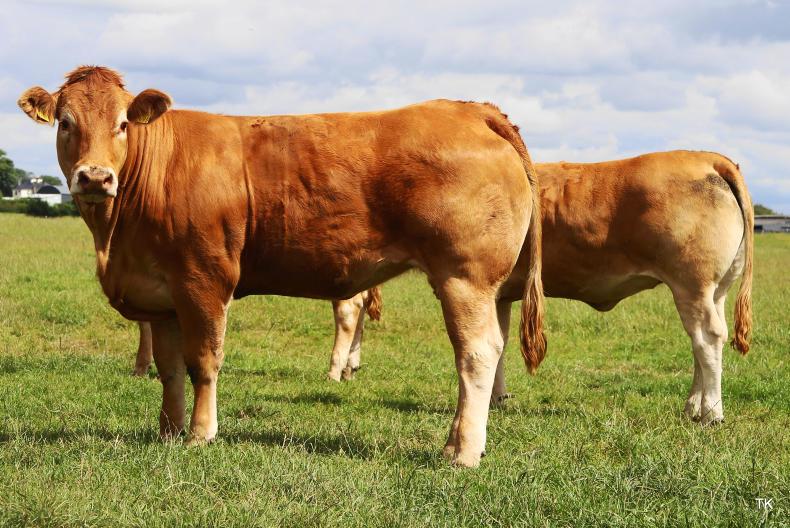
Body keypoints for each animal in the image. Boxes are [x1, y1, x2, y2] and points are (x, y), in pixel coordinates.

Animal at [19, 66, 545, 467]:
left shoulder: (203, 279)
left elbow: (202, 361)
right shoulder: (160, 293)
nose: (95, 177)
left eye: (123, 124)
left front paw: (200, 433)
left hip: (465, 278)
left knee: (477, 354)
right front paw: (168, 432)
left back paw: (462, 452)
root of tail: (471, 109)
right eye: (65, 123)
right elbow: (168, 370)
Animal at [306, 151, 754, 424]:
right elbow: (499, 344)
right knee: (701, 344)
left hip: (692, 284)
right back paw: (694, 405)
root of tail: (705, 158)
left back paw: (711, 412)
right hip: (712, 290)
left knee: (707, 340)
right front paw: (498, 398)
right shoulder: (500, 292)